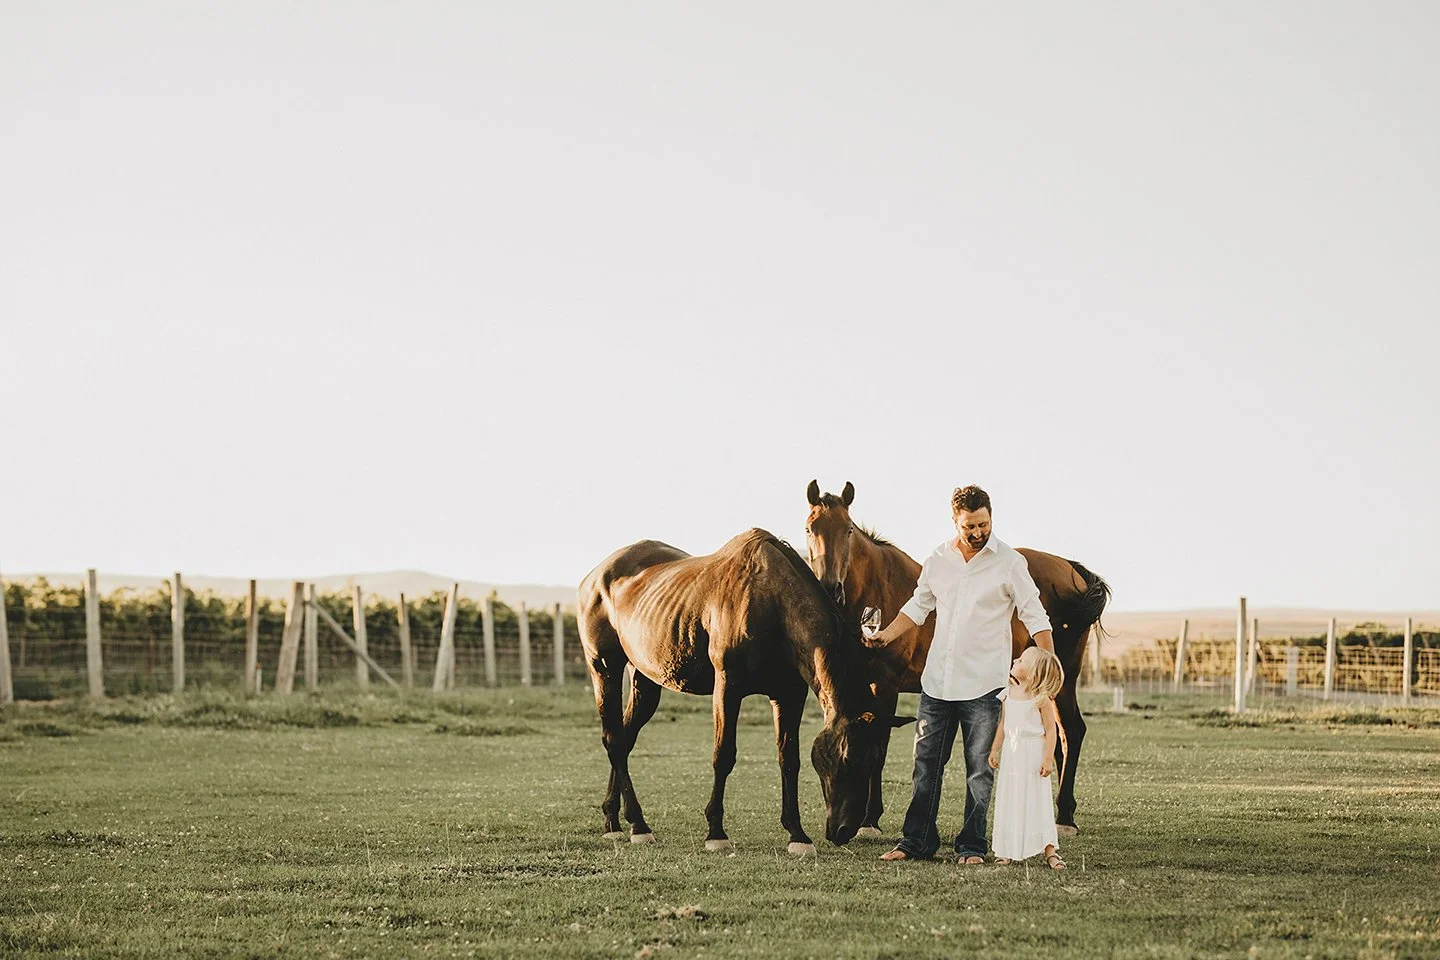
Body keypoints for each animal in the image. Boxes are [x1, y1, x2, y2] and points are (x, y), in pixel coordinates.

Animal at [577, 528, 911, 855]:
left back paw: (613, 820)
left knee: (625, 739)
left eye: (875, 759)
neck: (772, 602)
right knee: (614, 740)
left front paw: (797, 834)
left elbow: (789, 759)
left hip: (645, 680)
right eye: (850, 758)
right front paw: (716, 832)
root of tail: (594, 576)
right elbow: (723, 755)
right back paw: (638, 825)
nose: (844, 830)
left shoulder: (789, 694)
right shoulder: (728, 686)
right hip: (604, 668)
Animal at [802, 480, 1110, 836]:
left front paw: (869, 821)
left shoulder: (886, 684)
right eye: (810, 528)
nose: (830, 588)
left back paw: (1065, 819)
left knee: (1071, 732)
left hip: (1064, 680)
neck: (877, 586)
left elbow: (878, 747)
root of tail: (1071, 569)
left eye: (848, 530)